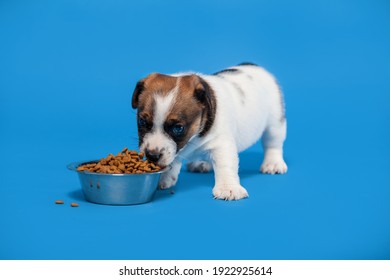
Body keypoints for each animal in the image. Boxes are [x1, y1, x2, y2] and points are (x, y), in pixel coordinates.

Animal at [131, 62, 286, 200]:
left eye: (178, 128)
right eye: (142, 122)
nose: (152, 155)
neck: (193, 137)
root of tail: (252, 65)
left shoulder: (222, 144)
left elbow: (225, 165)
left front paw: (228, 187)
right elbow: (173, 160)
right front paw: (164, 178)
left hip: (275, 124)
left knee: (273, 144)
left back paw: (273, 163)